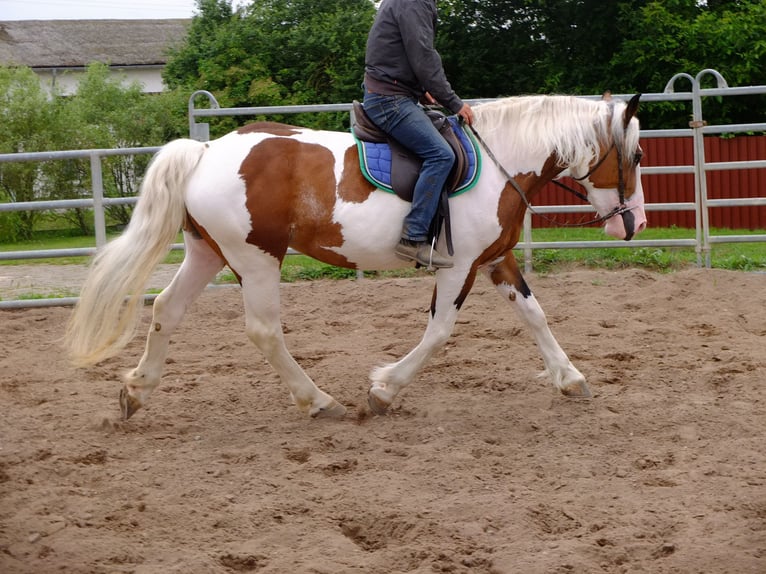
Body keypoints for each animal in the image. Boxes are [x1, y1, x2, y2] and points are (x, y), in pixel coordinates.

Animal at [66, 94, 648, 424]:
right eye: (639, 155)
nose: (633, 224)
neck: (500, 160)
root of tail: (207, 151)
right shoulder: (459, 266)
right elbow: (439, 332)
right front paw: (384, 390)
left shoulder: (494, 259)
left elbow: (534, 315)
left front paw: (570, 379)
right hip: (255, 258)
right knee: (263, 331)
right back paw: (318, 401)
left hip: (208, 253)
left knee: (167, 309)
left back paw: (136, 392)